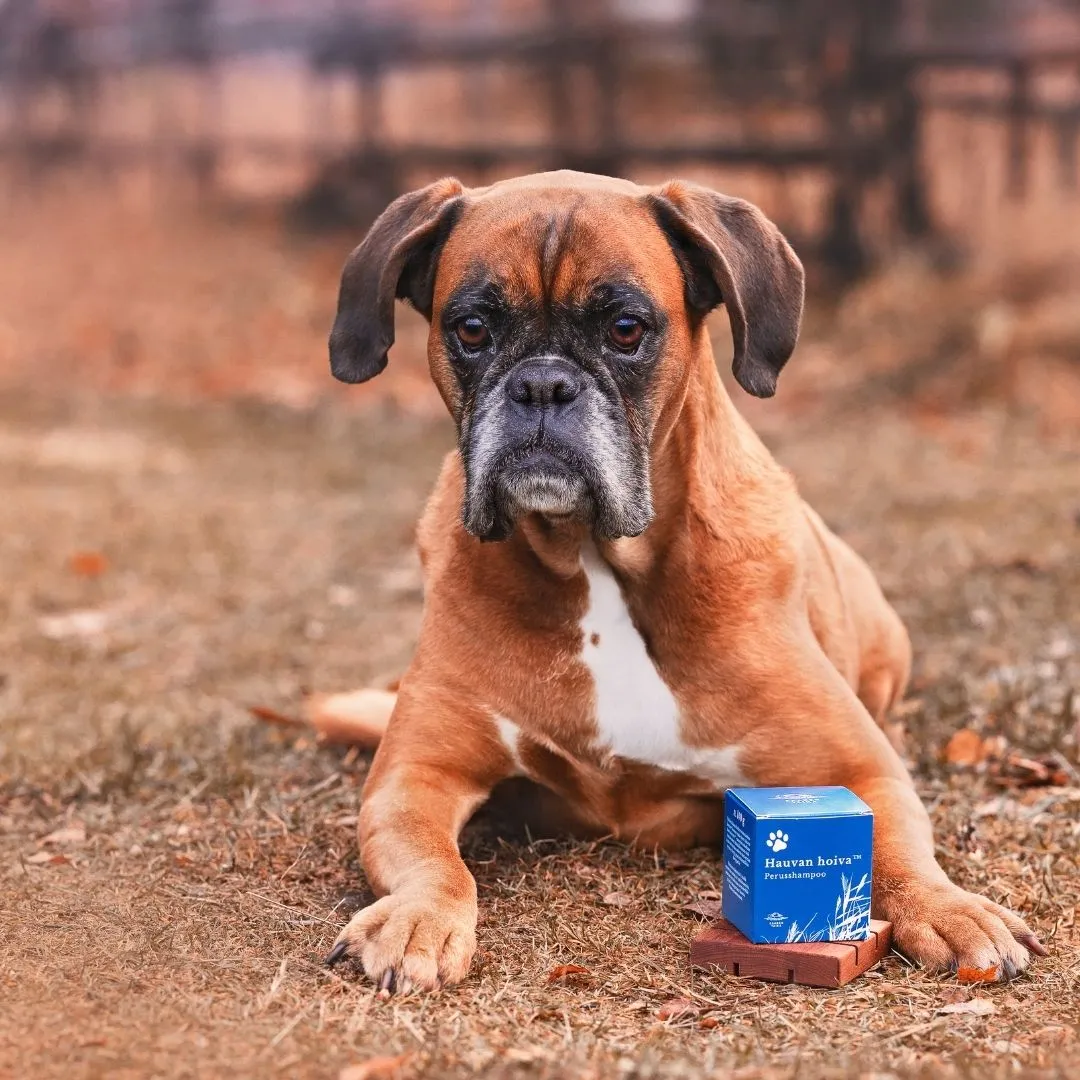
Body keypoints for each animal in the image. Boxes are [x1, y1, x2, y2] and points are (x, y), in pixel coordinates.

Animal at [319, 170, 1045, 993]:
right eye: (471, 328)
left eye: (626, 328)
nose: (542, 385)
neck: (593, 558)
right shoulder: (414, 776)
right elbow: (433, 862)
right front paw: (416, 918)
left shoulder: (857, 769)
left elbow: (900, 850)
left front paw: (950, 909)